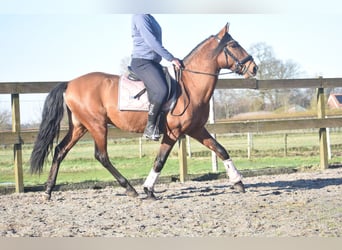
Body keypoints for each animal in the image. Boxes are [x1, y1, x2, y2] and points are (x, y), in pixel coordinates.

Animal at [30, 23, 258, 199]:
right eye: (234, 45)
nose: (254, 68)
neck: (190, 85)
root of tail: (70, 83)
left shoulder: (196, 129)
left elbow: (221, 150)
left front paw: (238, 182)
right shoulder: (173, 132)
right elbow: (160, 160)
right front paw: (148, 189)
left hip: (80, 126)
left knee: (60, 151)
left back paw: (48, 191)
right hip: (97, 125)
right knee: (101, 156)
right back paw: (130, 188)